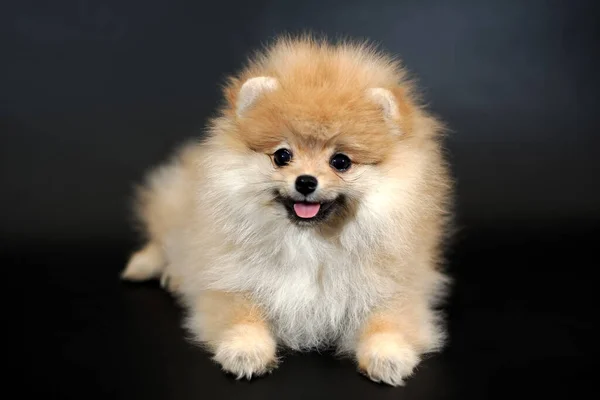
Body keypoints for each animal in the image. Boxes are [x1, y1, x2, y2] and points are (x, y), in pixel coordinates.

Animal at [120, 36, 450, 386]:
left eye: (340, 162)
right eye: (282, 156)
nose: (305, 181)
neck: (310, 242)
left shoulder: (393, 286)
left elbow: (388, 319)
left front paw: (387, 355)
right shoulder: (232, 279)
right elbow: (241, 313)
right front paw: (245, 350)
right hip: (177, 204)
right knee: (164, 239)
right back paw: (154, 268)